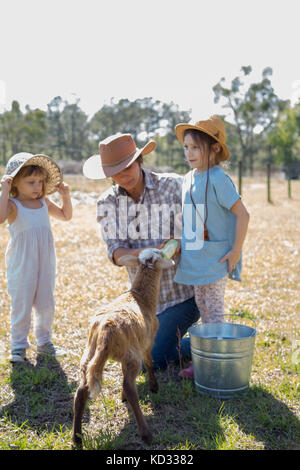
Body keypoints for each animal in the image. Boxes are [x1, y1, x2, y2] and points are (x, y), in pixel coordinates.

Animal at [71, 246, 173, 448]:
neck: (141, 296)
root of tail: (105, 328)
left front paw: (123, 396)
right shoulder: (147, 343)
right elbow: (150, 362)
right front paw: (153, 386)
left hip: (89, 353)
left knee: (81, 391)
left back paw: (77, 438)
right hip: (132, 355)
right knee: (130, 386)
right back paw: (146, 434)